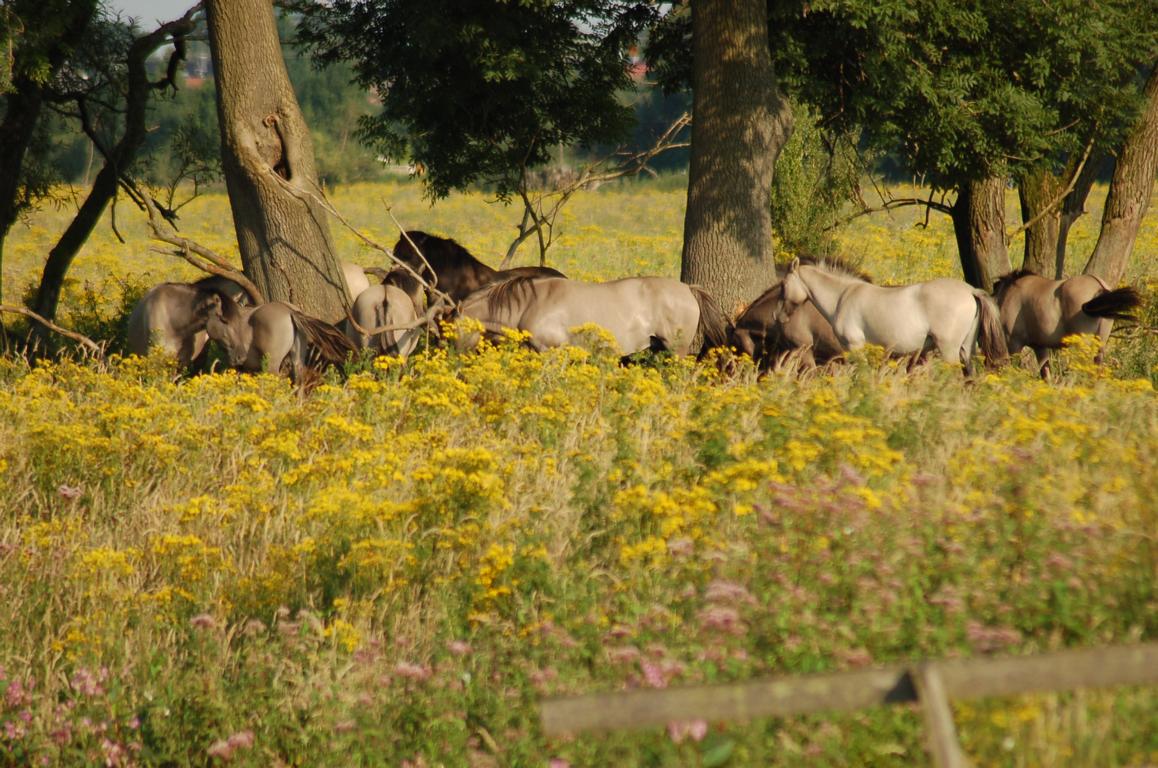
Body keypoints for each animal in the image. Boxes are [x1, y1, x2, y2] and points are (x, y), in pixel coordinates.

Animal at [195, 291, 357, 381]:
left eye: (224, 319)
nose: (239, 357)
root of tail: (290, 311)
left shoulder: (238, 367)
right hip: (297, 359)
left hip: (272, 365)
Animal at [780, 257, 1009, 374]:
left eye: (783, 285)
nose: (781, 316)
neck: (843, 295)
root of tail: (970, 291)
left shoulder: (855, 346)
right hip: (966, 349)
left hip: (948, 349)